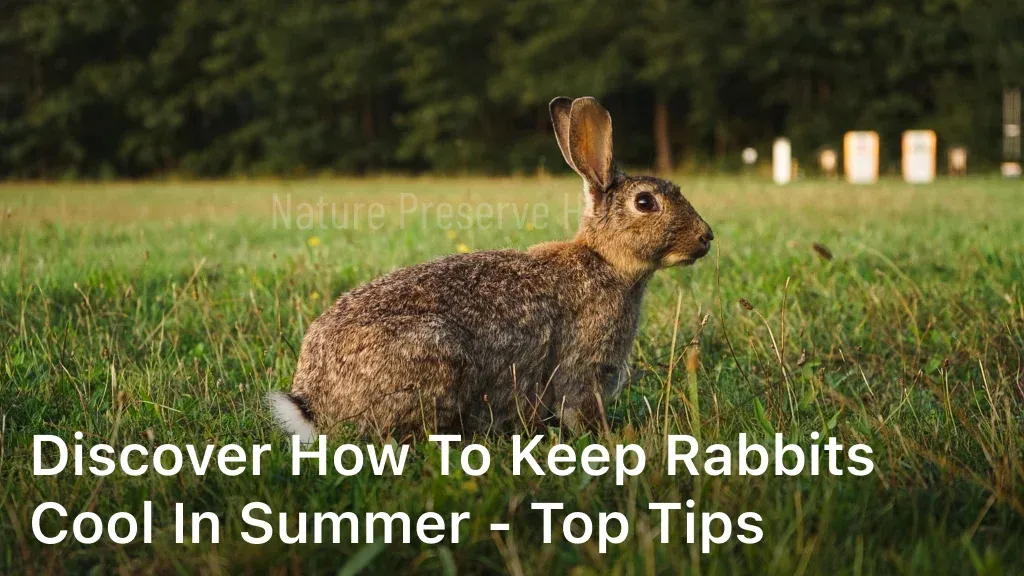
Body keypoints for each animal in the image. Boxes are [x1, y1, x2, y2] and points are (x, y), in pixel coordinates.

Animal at [270, 96, 713, 442]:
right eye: (645, 202)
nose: (706, 237)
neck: (604, 260)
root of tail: (312, 403)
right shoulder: (583, 368)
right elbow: (578, 407)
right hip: (436, 356)